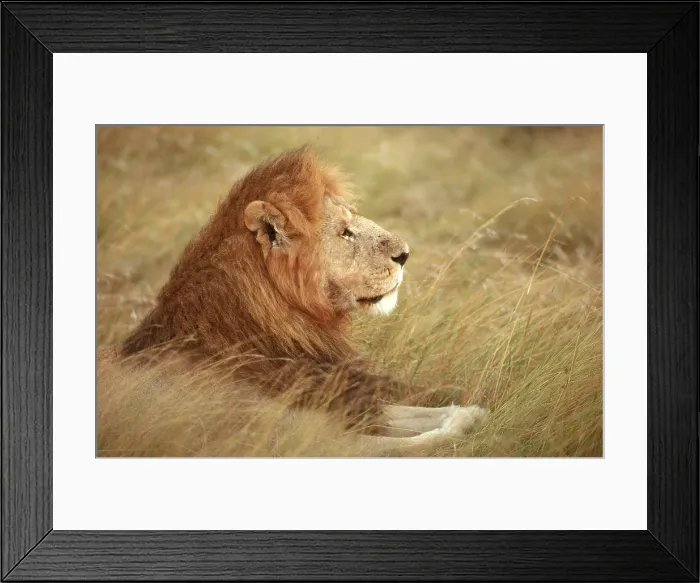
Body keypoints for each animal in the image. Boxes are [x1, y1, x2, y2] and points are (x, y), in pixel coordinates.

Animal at [98, 146, 487, 455]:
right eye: (345, 232)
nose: (405, 254)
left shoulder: (339, 399)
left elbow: (414, 412)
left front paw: (470, 409)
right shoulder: (300, 442)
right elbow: (416, 443)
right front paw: (467, 426)